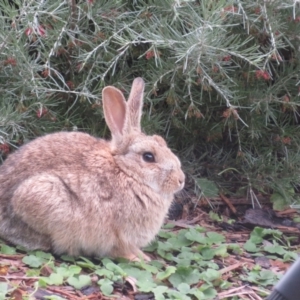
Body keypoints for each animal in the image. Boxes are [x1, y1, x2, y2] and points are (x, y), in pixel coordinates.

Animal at [0, 77, 185, 260]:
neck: (127, 171)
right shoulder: (118, 236)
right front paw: (139, 259)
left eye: (161, 140)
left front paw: (143, 256)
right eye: (148, 157)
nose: (181, 180)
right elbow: (120, 250)